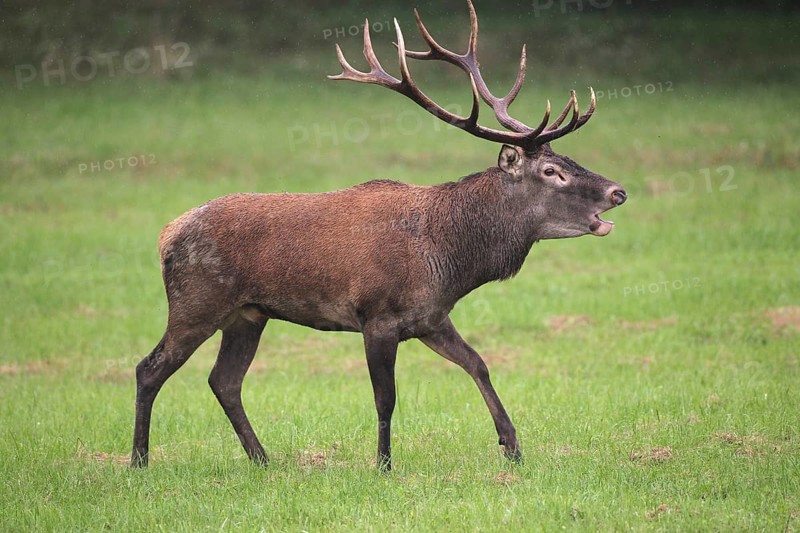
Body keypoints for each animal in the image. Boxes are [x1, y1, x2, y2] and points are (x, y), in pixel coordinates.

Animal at [130, 0, 626, 471]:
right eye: (552, 171)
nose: (618, 191)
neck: (448, 258)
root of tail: (166, 234)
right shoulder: (377, 316)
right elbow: (385, 398)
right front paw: (384, 464)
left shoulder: (431, 317)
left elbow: (479, 365)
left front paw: (513, 447)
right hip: (198, 301)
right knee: (149, 368)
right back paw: (139, 460)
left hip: (248, 314)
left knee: (224, 380)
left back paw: (262, 459)